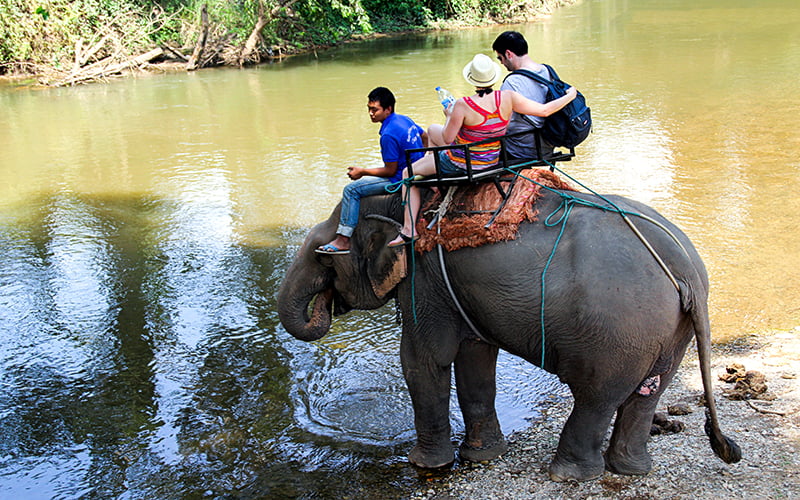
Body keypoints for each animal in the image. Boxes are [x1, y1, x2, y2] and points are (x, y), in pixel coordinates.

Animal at [278, 182, 740, 482]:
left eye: (324, 257)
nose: (325, 304)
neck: (400, 199)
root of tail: (687, 271)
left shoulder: (424, 278)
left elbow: (422, 360)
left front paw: (425, 465)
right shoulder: (453, 287)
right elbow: (475, 360)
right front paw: (483, 456)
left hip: (618, 335)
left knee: (596, 397)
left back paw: (568, 476)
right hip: (668, 334)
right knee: (646, 395)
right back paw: (628, 470)